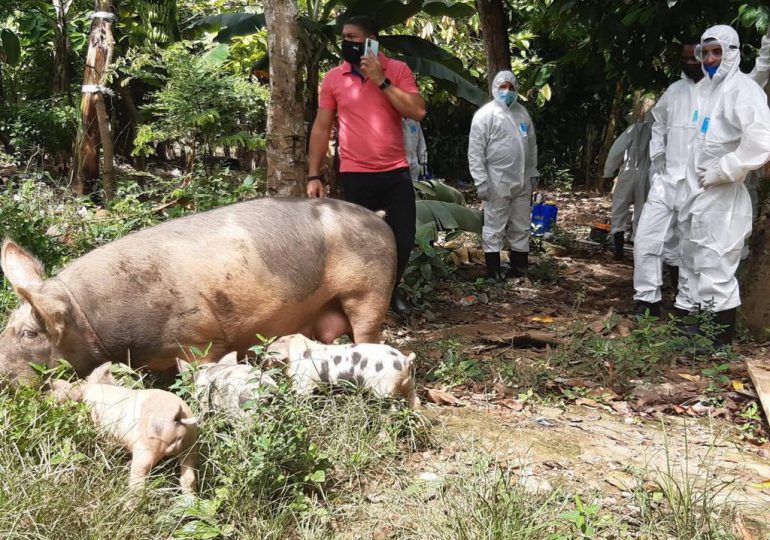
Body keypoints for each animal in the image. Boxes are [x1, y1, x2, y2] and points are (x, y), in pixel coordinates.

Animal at [0, 196, 396, 382]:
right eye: (8, 325)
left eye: (29, 333)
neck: (88, 316)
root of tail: (377, 217)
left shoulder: (197, 338)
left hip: (370, 288)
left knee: (368, 331)